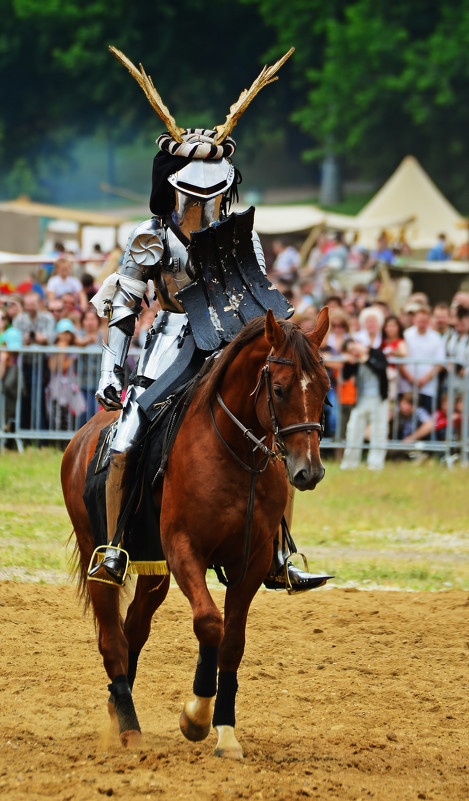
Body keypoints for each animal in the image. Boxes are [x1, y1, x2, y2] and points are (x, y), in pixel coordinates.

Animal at [61, 306, 330, 756]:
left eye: (326, 388)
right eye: (278, 389)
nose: (308, 471)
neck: (233, 453)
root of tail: (80, 438)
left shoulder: (250, 562)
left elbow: (232, 642)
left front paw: (226, 730)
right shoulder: (184, 549)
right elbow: (208, 623)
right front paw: (196, 717)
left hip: (152, 567)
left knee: (135, 628)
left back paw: (119, 706)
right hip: (95, 553)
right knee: (112, 637)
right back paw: (128, 728)